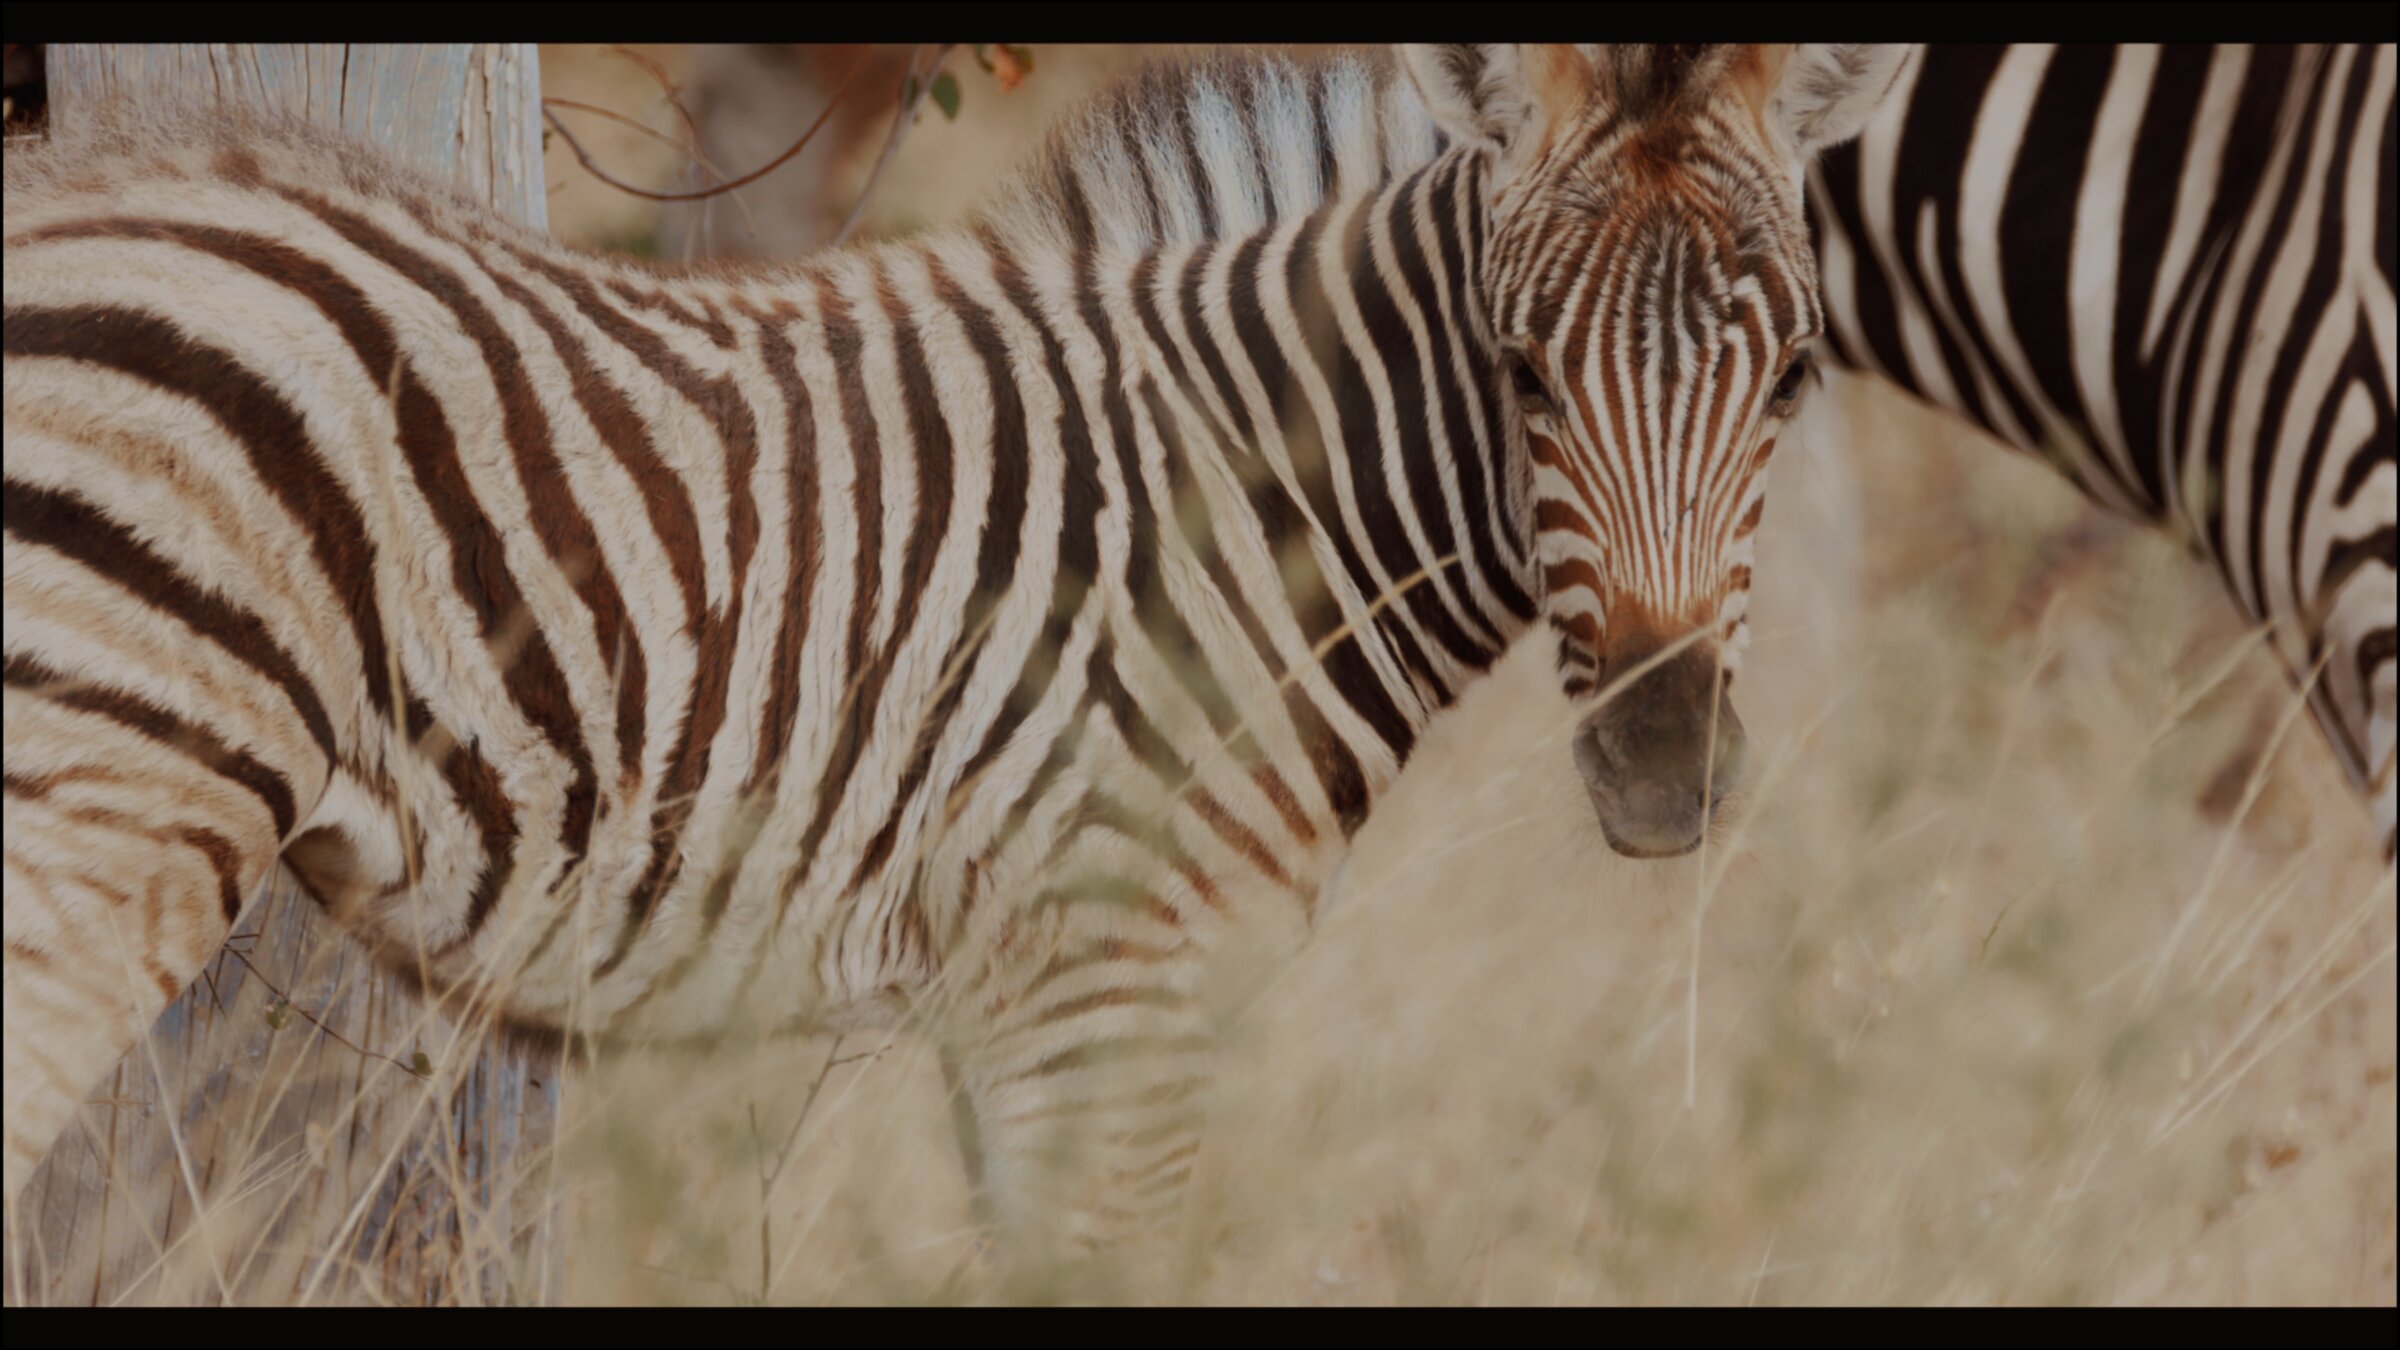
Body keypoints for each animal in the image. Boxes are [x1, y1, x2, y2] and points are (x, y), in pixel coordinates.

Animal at [1, 43, 1910, 1263]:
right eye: (1517, 372)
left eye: (1792, 378)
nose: (1664, 772)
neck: (1229, 510)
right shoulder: (1105, 985)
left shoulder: (1019, 1007)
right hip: (106, 815)